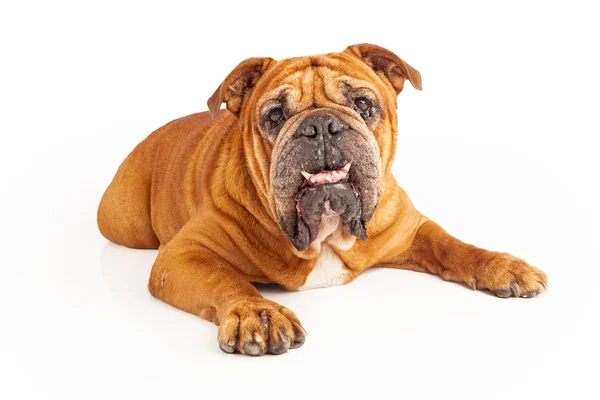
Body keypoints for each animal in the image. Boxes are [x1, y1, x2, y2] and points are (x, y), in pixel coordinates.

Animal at [97, 43, 548, 356]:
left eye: (363, 104)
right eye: (274, 116)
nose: (320, 125)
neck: (326, 234)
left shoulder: (409, 227)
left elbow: (452, 246)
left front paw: (502, 265)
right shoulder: (184, 254)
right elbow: (225, 278)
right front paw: (257, 313)